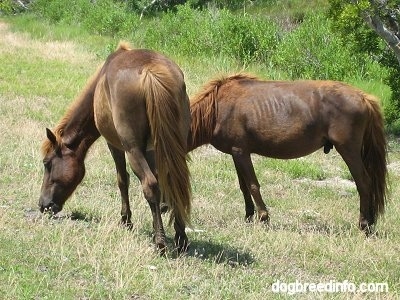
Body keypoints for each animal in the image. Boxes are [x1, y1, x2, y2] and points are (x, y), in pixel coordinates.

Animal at [38, 42, 191, 253]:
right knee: (176, 182)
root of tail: (150, 72)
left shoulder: (115, 146)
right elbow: (163, 179)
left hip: (133, 151)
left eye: (47, 164)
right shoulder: (152, 150)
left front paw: (126, 220)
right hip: (174, 147)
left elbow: (122, 180)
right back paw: (181, 237)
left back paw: (160, 241)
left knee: (149, 185)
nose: (43, 204)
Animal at [190, 73, 388, 232]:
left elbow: (253, 185)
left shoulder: (241, 152)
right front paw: (248, 216)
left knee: (364, 183)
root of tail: (363, 97)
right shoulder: (235, 153)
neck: (218, 107)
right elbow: (243, 186)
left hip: (349, 150)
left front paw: (263, 217)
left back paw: (364, 225)